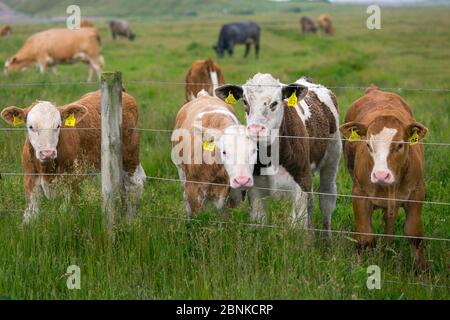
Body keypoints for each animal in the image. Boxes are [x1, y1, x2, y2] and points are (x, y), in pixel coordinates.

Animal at [0, 90, 144, 224]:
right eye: (31, 127)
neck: (47, 169)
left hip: (130, 156)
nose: (47, 153)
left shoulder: (72, 181)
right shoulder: (30, 178)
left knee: (135, 184)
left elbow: (66, 212)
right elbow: (30, 215)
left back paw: (130, 222)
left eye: (58, 126)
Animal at [171, 89, 256, 218]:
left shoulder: (234, 196)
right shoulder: (193, 190)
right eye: (224, 152)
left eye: (254, 151)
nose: (242, 180)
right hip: (181, 173)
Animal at [342, 84, 428, 270]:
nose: (381, 175)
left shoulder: (417, 192)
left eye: (400, 145)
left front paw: (421, 272)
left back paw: (387, 247)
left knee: (390, 218)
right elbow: (364, 236)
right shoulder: (359, 193)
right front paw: (358, 267)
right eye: (368, 144)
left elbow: (415, 234)